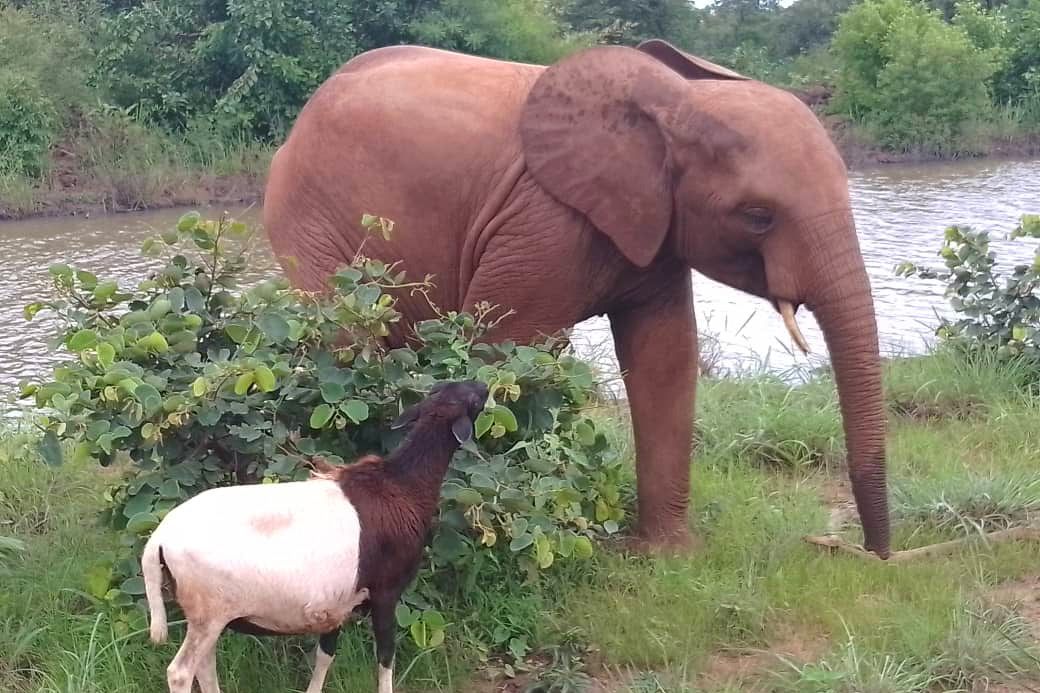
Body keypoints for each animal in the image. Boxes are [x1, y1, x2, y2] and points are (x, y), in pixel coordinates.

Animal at [263, 39, 891, 559]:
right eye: (758, 216)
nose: (867, 554)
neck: (676, 104)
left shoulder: (654, 226)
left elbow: (666, 357)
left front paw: (667, 557)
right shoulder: (544, 223)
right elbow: (507, 350)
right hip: (311, 221)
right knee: (345, 338)